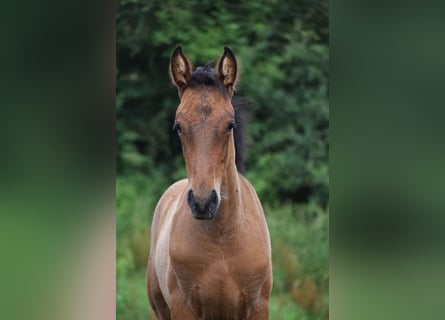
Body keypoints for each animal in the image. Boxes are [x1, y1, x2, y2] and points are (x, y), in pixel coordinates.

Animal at [147, 47, 270, 320]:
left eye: (230, 125)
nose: (203, 203)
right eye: (178, 126)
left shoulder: (258, 307)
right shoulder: (183, 308)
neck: (222, 240)